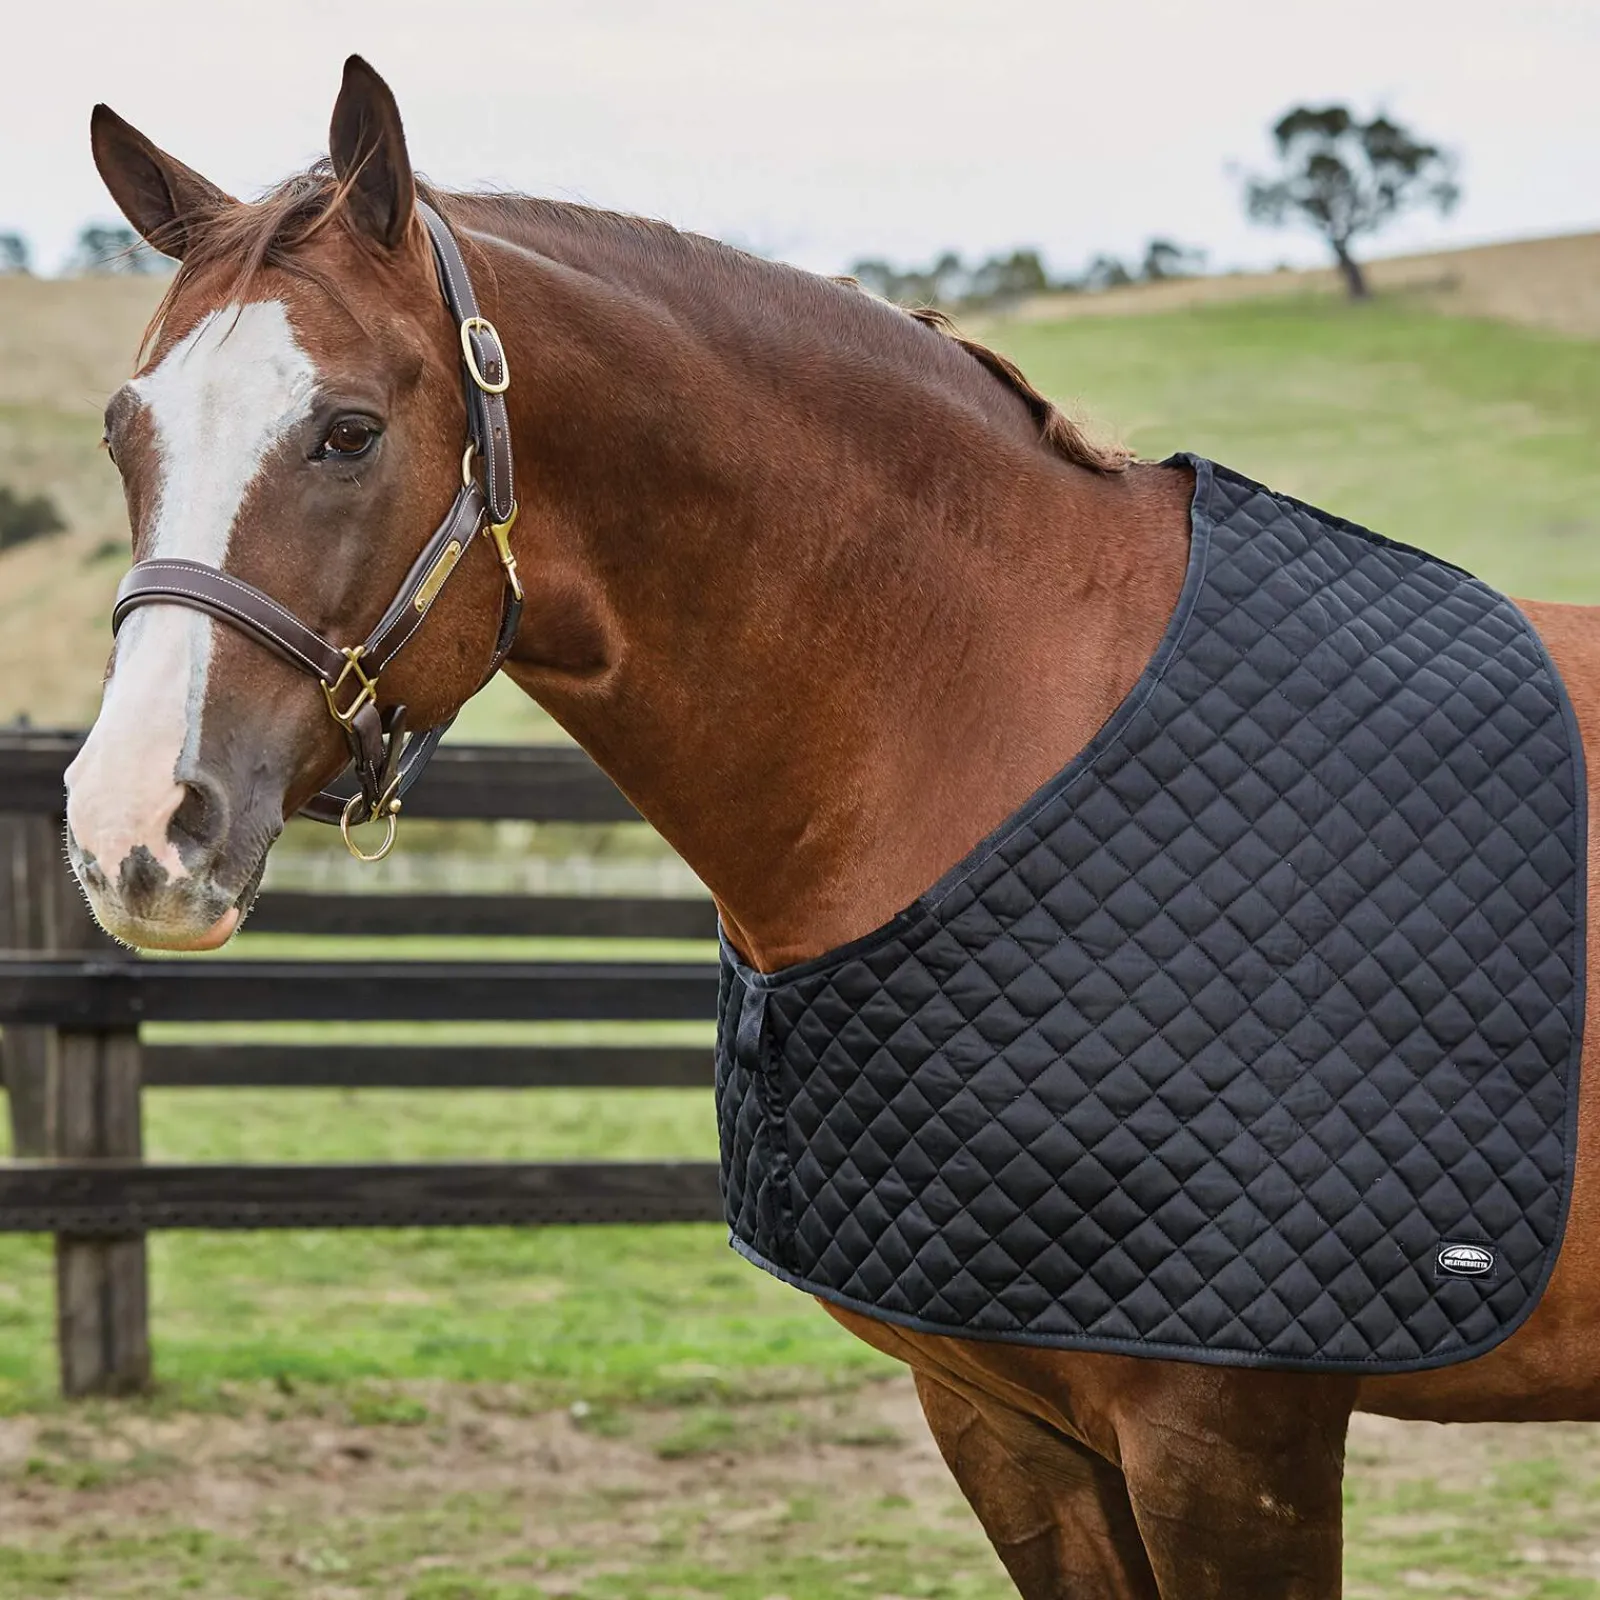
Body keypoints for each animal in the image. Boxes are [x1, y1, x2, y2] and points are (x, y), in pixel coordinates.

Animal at [65, 56, 1600, 1598]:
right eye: (122, 431)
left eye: (349, 431)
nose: (132, 824)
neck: (995, 724)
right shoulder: (1005, 1416)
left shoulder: (1231, 1441)